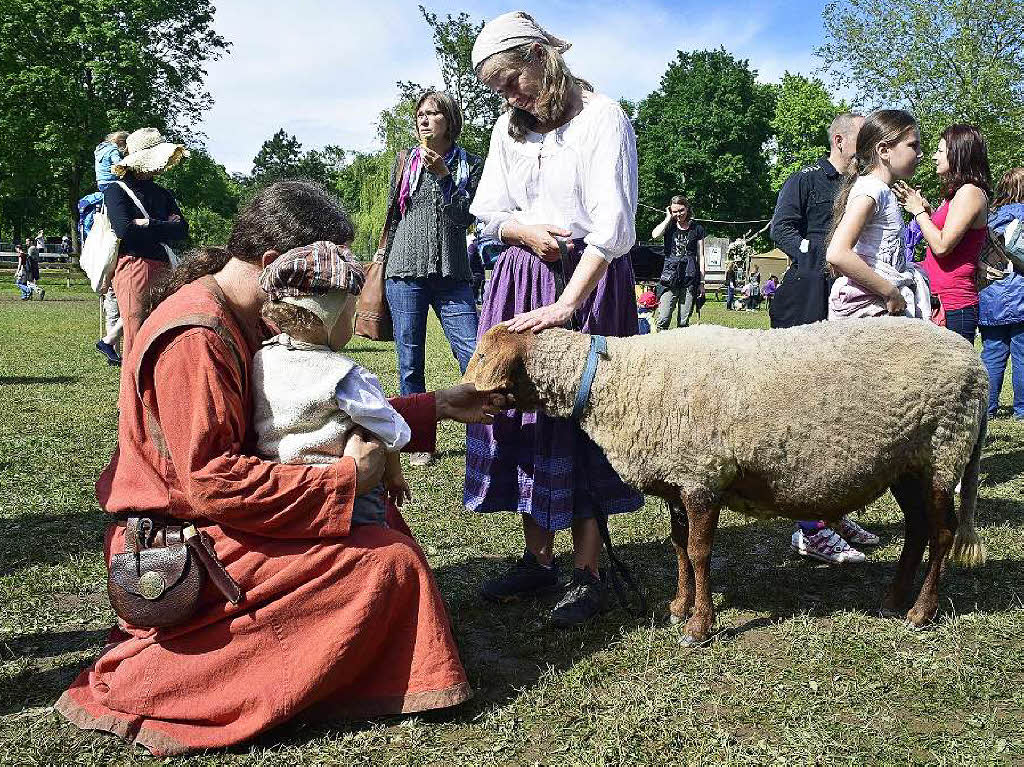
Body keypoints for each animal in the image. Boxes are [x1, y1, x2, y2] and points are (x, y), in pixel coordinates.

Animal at [466, 317, 991, 647]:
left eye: (483, 352)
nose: (466, 394)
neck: (614, 382)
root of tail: (977, 366)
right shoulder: (678, 479)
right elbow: (679, 546)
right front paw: (679, 606)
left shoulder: (702, 475)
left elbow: (700, 552)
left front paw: (699, 627)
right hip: (907, 463)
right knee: (918, 530)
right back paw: (893, 600)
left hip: (944, 448)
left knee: (942, 534)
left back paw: (921, 611)